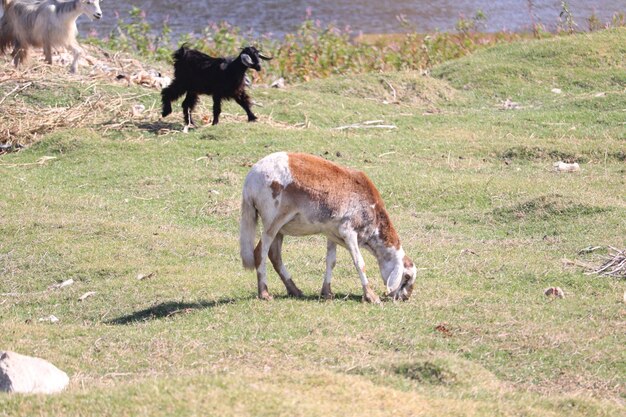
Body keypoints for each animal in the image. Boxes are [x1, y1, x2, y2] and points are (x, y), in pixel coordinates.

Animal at [238, 152, 414, 302]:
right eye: (407, 277)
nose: (405, 298)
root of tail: (250, 181)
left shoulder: (332, 233)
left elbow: (331, 261)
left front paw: (327, 293)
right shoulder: (348, 231)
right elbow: (359, 262)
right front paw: (371, 296)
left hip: (279, 228)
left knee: (274, 255)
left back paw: (294, 290)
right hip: (272, 221)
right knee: (260, 252)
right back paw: (264, 293)